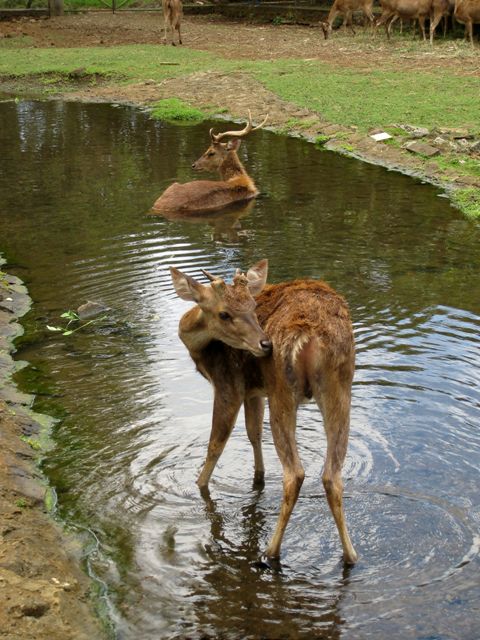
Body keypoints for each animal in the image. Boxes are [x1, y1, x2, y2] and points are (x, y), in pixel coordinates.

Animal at [171, 258, 358, 564]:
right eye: (224, 314)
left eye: (252, 307)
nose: (264, 343)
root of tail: (310, 335)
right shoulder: (255, 391)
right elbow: (254, 433)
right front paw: (258, 477)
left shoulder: (229, 385)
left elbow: (216, 444)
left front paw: (199, 483)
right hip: (340, 386)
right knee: (332, 474)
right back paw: (350, 554)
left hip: (282, 390)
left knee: (295, 473)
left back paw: (271, 552)